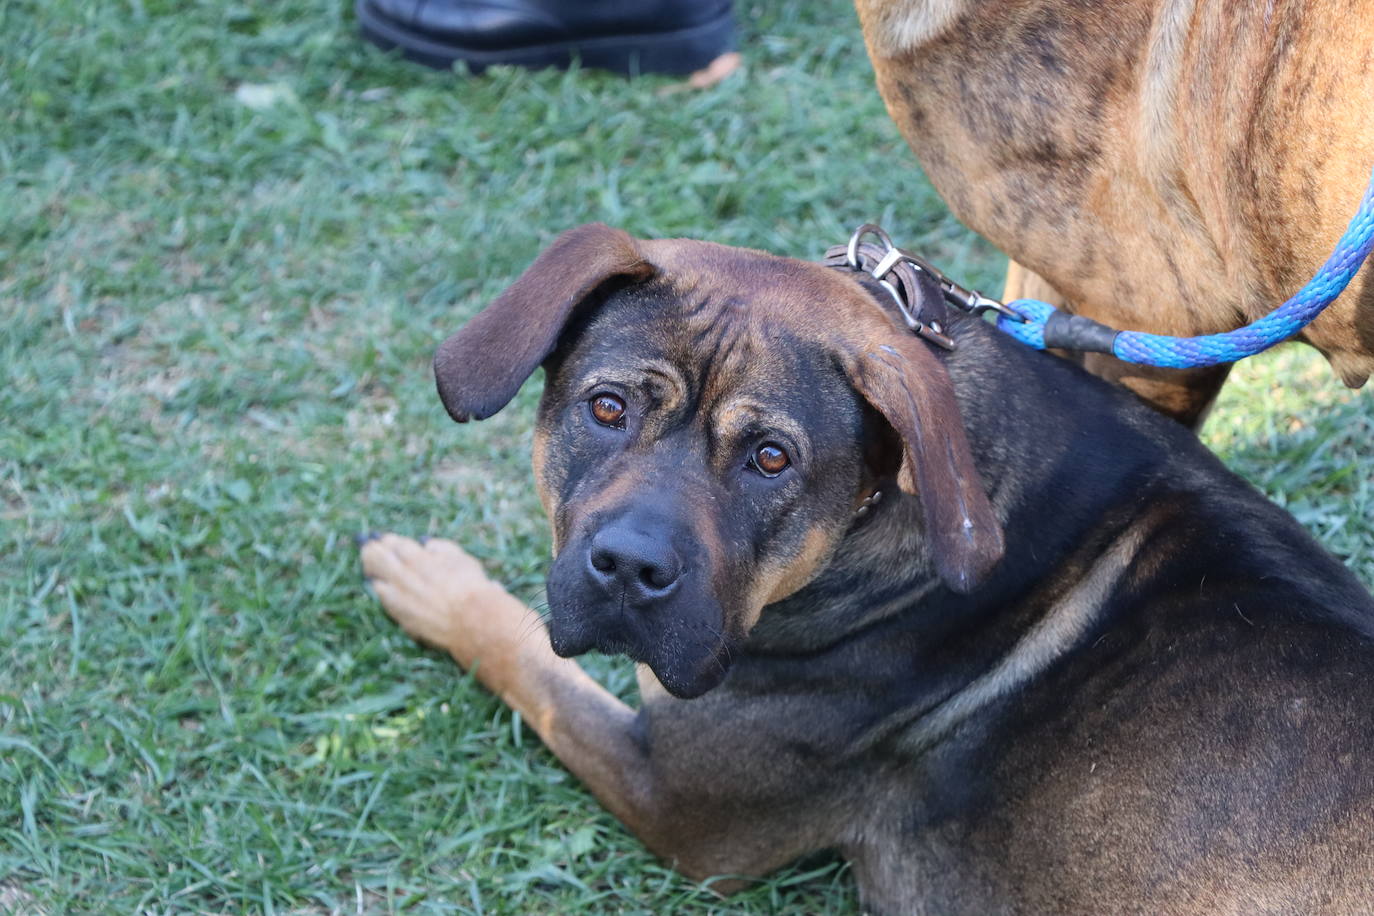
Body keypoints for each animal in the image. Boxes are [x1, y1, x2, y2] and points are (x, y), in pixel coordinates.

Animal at [362, 223, 1374, 916]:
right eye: (607, 407)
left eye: (771, 460)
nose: (628, 568)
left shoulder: (674, 802)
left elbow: (526, 662)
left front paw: (430, 582)